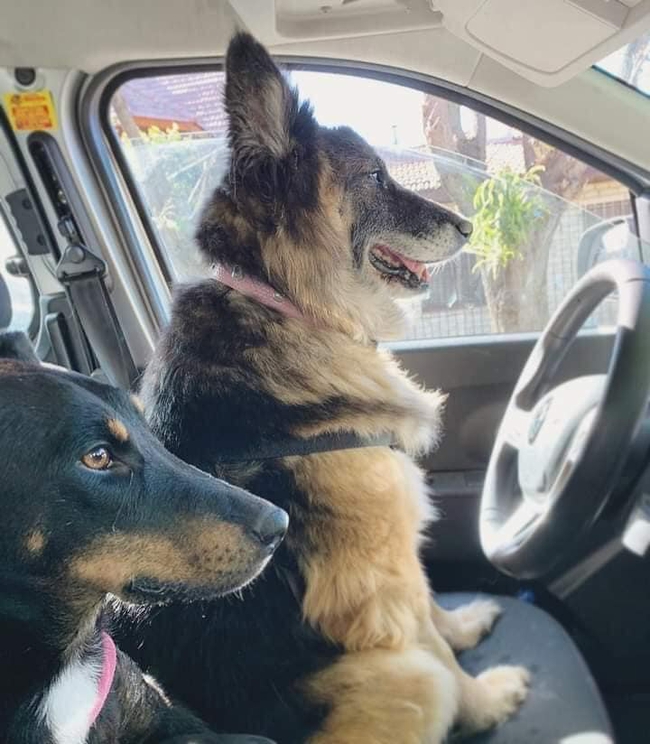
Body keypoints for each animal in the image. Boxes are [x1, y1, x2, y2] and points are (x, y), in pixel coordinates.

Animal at [121, 32, 528, 740]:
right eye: (376, 177)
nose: (468, 227)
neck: (287, 306)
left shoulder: (399, 564)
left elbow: (434, 611)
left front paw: (465, 622)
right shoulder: (381, 585)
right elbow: (439, 654)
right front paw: (485, 699)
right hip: (406, 681)